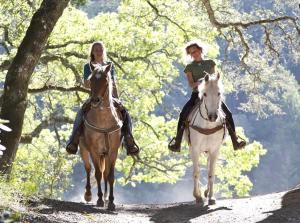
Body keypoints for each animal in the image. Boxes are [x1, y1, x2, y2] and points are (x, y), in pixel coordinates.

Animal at [79, 63, 123, 211]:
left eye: (106, 80)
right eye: (91, 79)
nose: (95, 100)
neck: (103, 121)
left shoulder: (113, 151)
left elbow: (110, 176)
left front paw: (111, 202)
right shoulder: (94, 150)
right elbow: (97, 174)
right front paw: (99, 200)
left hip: (105, 154)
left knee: (105, 173)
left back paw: (106, 196)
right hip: (83, 150)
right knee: (88, 169)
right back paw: (88, 195)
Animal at [185, 73, 225, 206]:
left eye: (218, 93)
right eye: (205, 94)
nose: (213, 116)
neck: (208, 126)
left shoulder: (214, 150)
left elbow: (211, 173)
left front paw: (211, 197)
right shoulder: (195, 149)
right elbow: (196, 172)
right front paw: (197, 196)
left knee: (208, 167)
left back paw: (207, 192)